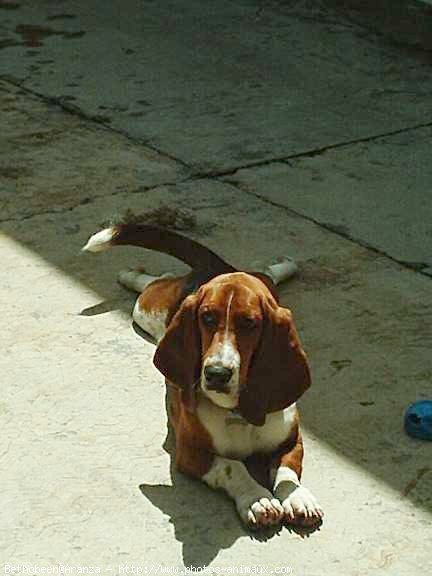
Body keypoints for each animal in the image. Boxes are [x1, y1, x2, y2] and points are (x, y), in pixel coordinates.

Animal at [82, 223, 322, 528]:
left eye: (249, 323)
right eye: (206, 318)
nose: (217, 374)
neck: (236, 414)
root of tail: (213, 268)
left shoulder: (292, 441)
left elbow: (287, 472)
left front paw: (297, 497)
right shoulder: (191, 454)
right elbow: (234, 466)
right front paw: (257, 498)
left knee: (265, 271)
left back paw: (286, 265)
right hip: (145, 312)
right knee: (153, 283)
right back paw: (131, 275)